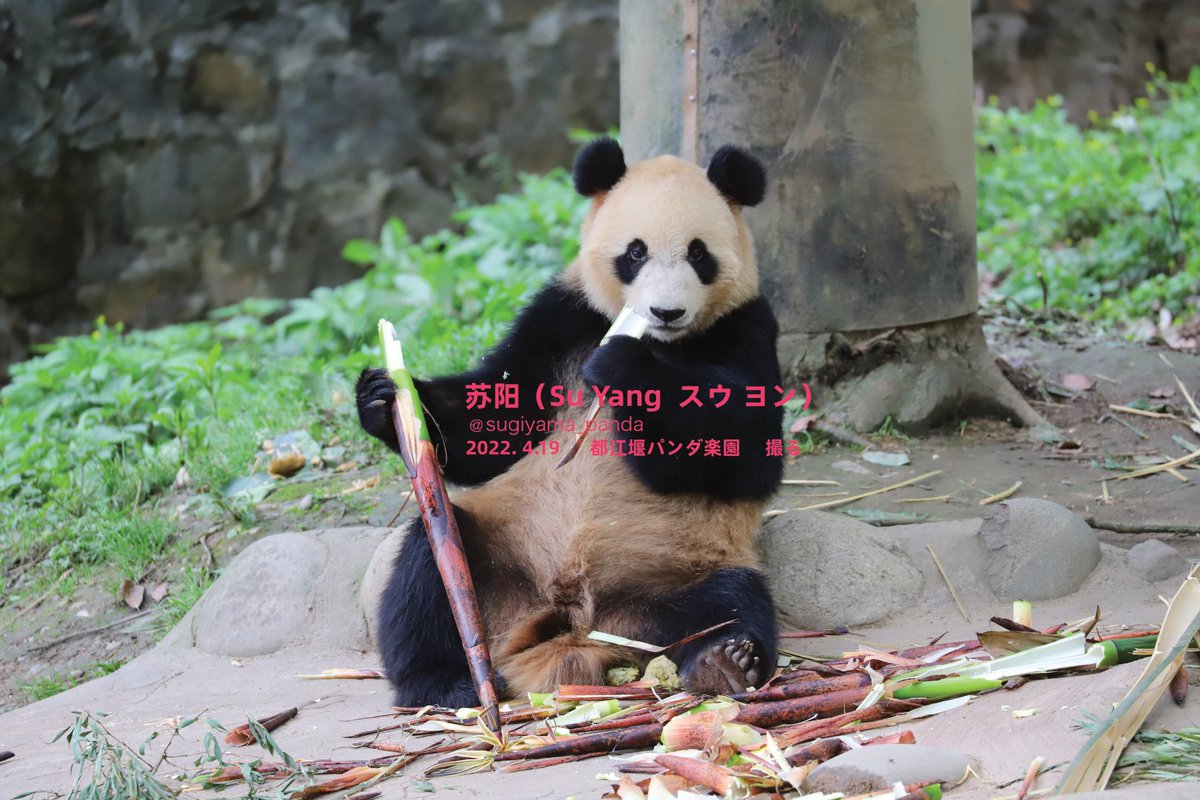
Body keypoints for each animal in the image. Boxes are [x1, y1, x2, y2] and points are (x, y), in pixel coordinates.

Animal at [356, 137, 784, 707]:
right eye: (635, 253)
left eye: (699, 254)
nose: (665, 312)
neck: (665, 343)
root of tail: (578, 626)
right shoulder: (562, 317)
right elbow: (495, 419)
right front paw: (384, 396)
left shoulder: (748, 328)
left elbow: (748, 455)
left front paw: (624, 368)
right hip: (502, 556)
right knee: (429, 572)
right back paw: (447, 682)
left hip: (676, 576)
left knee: (733, 599)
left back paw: (727, 662)